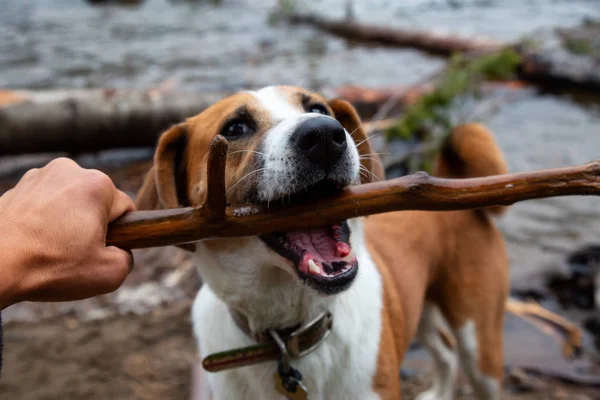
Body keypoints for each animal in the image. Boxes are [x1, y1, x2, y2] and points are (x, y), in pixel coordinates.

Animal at [137, 86, 510, 398]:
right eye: (235, 128)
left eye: (318, 108)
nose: (323, 134)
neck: (290, 333)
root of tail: (448, 177)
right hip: (418, 308)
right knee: (445, 352)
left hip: (479, 342)